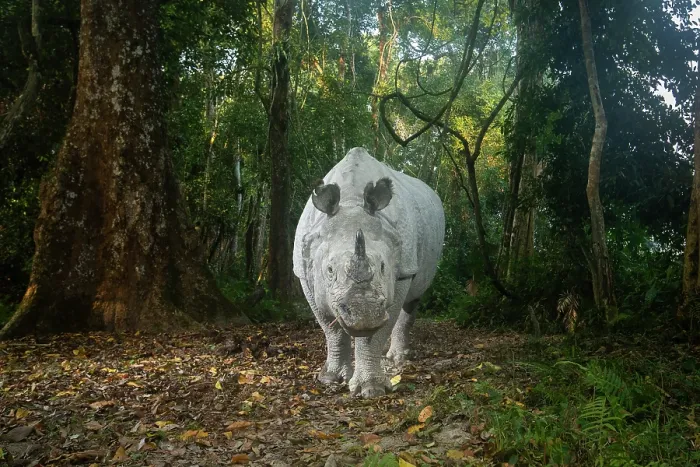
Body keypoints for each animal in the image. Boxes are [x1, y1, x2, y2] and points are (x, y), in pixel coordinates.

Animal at [293, 147, 445, 398]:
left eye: (383, 267)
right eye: (329, 270)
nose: (364, 314)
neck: (351, 200)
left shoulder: (402, 271)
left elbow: (373, 335)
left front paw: (371, 390)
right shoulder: (304, 272)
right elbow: (330, 329)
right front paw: (330, 378)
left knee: (413, 298)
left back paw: (398, 360)